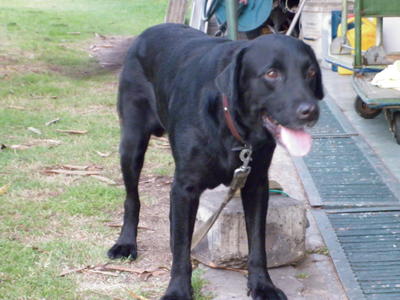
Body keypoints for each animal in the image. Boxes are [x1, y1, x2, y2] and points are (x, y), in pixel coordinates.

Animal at [108, 24, 324, 300]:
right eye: (271, 73)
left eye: (310, 72)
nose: (310, 111)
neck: (231, 124)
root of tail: (149, 31)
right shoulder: (186, 186)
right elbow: (182, 249)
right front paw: (178, 290)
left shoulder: (256, 183)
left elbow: (257, 243)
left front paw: (262, 285)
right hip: (132, 143)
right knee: (132, 199)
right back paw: (125, 243)